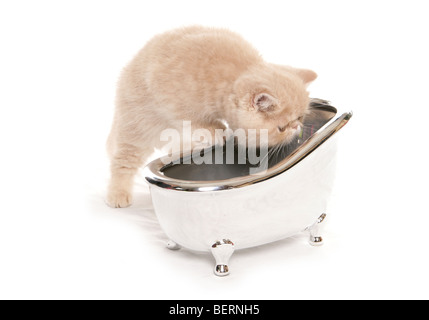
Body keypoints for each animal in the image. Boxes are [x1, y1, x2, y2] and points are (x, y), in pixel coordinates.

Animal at [105, 25, 316, 208]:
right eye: (282, 127)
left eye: (300, 118)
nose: (296, 127)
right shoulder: (170, 98)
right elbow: (194, 120)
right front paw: (217, 130)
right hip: (138, 124)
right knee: (123, 160)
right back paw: (117, 194)